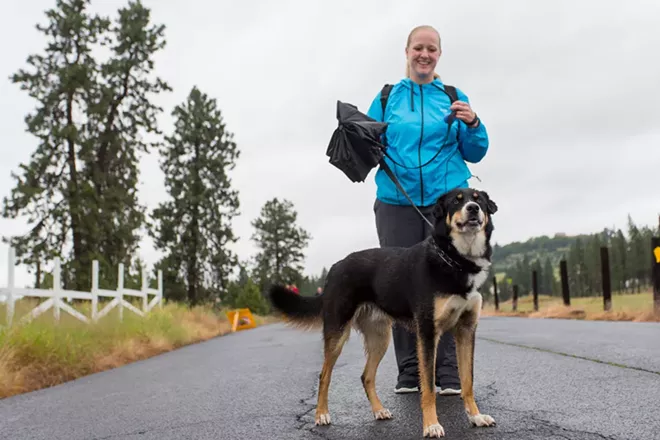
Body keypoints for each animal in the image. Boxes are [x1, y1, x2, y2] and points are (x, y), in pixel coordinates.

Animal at [266, 187, 498, 438]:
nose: (473, 209)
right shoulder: (427, 333)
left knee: (366, 376)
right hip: (338, 333)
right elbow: (427, 387)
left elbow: (468, 382)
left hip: (380, 338)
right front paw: (431, 425)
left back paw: (378, 411)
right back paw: (321, 414)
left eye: (478, 200)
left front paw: (476, 416)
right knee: (324, 375)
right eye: (456, 202)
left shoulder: (466, 330)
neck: (455, 260)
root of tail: (336, 267)